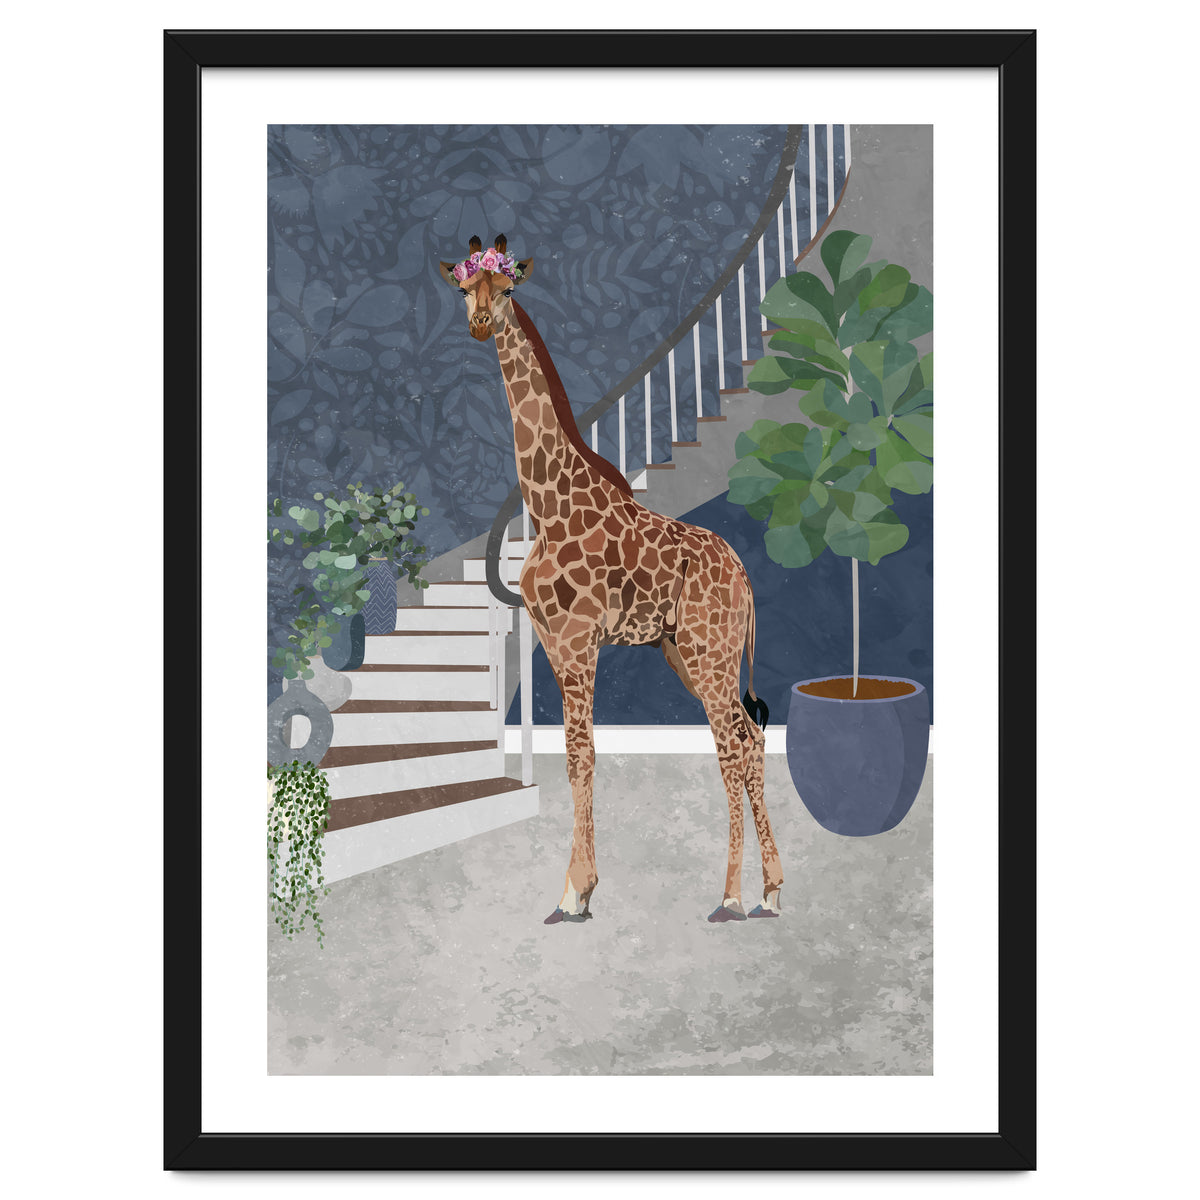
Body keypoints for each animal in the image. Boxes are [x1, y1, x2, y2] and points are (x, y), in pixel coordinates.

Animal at [440, 235, 784, 924]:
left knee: (733, 746)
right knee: (750, 739)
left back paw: (731, 895)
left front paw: (574, 892)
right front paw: (580, 888)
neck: (547, 504)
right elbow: (577, 757)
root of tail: (744, 575)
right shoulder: (551, 642)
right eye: (464, 287)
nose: (482, 323)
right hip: (689, 652)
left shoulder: (578, 642)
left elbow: (582, 753)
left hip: (710, 651)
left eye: (508, 287)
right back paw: (770, 891)